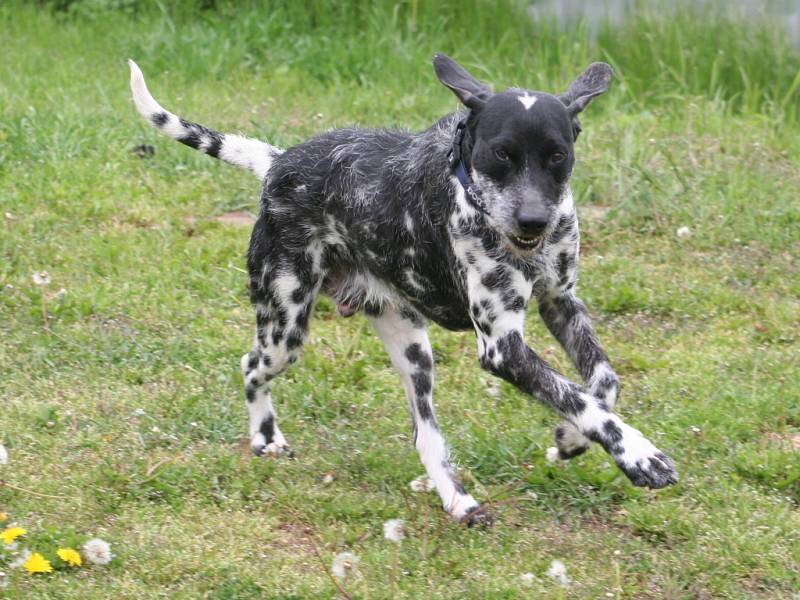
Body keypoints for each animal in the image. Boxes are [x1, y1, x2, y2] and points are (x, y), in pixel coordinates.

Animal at [130, 56, 676, 524]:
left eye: (557, 156)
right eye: (501, 154)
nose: (533, 220)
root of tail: (280, 163)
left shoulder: (560, 302)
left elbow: (601, 385)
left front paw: (571, 438)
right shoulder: (503, 347)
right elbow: (579, 399)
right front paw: (637, 453)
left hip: (414, 352)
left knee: (426, 438)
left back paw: (457, 501)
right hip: (284, 327)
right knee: (250, 367)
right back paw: (265, 436)